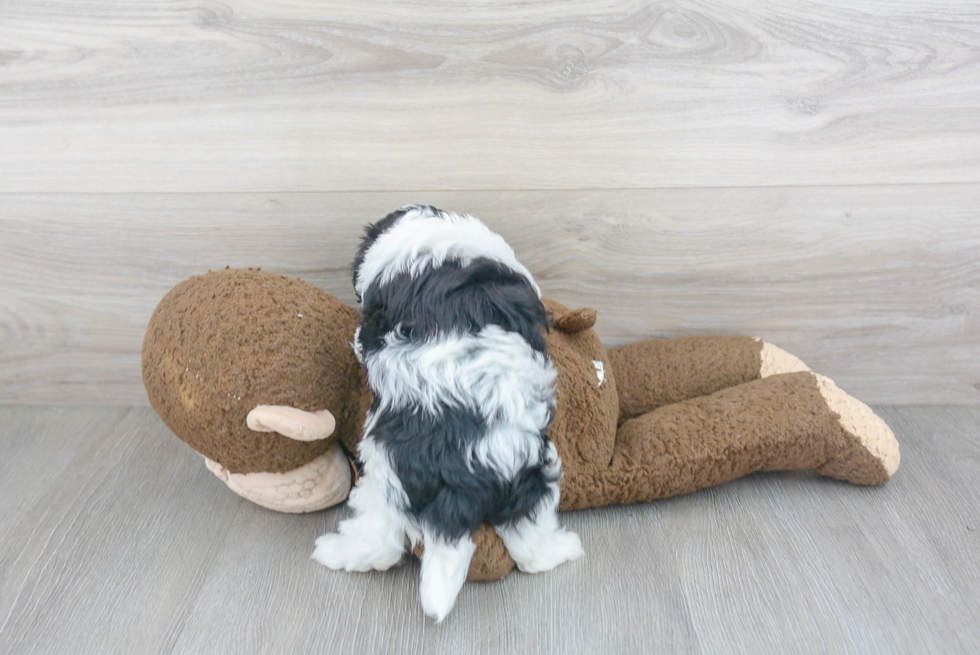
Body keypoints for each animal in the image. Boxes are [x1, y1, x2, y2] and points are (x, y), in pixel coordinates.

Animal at [314, 205, 580, 620]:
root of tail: (463, 473)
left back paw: (331, 552)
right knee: (529, 539)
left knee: (380, 540)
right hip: (531, 474)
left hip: (386, 472)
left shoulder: (375, 317)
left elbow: (364, 336)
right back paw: (563, 550)